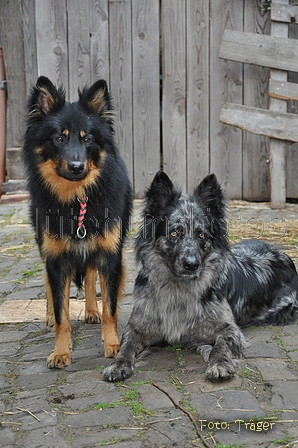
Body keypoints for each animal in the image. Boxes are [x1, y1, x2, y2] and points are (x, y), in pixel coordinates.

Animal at [23, 75, 133, 368]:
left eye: (88, 139)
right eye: (59, 138)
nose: (76, 167)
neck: (77, 200)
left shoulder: (110, 253)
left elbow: (110, 307)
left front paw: (113, 345)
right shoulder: (56, 257)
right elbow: (62, 311)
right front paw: (61, 351)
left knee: (92, 276)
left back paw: (92, 310)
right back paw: (50, 315)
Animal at [104, 172, 298, 382]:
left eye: (201, 235)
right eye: (174, 233)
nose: (191, 264)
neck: (178, 288)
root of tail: (285, 255)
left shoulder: (230, 329)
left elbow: (221, 346)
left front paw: (219, 363)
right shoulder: (137, 327)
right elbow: (126, 345)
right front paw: (117, 365)